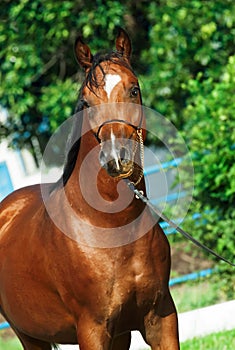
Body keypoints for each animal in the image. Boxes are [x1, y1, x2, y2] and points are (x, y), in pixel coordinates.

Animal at [0, 28, 180, 348]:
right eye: (85, 102)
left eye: (134, 90)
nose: (116, 158)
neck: (109, 225)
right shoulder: (92, 329)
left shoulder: (161, 319)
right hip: (28, 335)